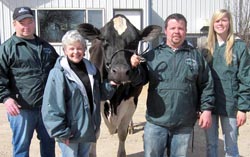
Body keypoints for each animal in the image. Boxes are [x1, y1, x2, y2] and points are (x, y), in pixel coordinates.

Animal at [77, 14, 161, 156]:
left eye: (134, 42)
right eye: (105, 40)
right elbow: (95, 133)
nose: (121, 72)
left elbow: (122, 133)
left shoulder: (131, 102)